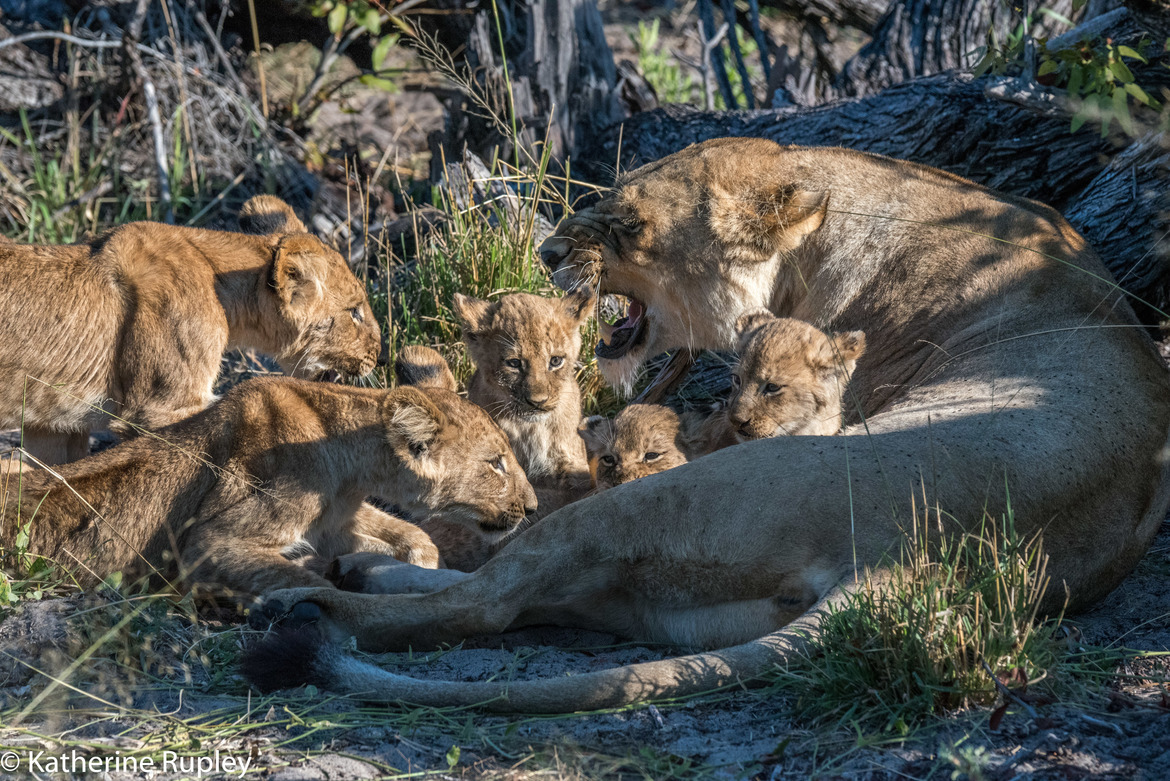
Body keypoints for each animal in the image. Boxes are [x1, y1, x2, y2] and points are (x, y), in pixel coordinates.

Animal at [0, 377, 536, 599]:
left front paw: (414, 564)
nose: (532, 508)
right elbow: (311, 584)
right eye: (496, 464)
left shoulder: (335, 521)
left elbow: (416, 538)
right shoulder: (207, 541)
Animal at [243, 139, 1170, 713]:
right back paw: (364, 573)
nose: (547, 253)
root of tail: (919, 565)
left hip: (666, 499)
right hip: (674, 605)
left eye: (627, 224)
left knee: (484, 600)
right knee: (512, 602)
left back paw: (305, 600)